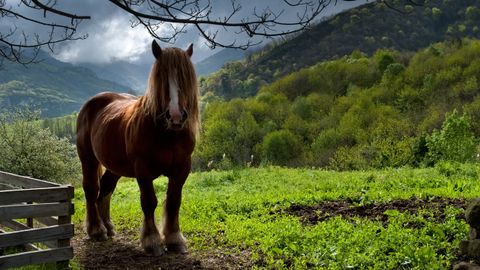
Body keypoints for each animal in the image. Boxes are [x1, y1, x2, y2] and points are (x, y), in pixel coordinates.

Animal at [76, 40, 200, 255]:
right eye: (161, 77)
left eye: (185, 77)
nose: (176, 116)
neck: (168, 133)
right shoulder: (142, 169)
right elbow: (149, 202)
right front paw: (152, 241)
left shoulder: (182, 167)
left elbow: (174, 201)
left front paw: (174, 239)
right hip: (88, 159)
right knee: (91, 190)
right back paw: (97, 230)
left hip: (115, 167)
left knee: (106, 189)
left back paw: (108, 226)